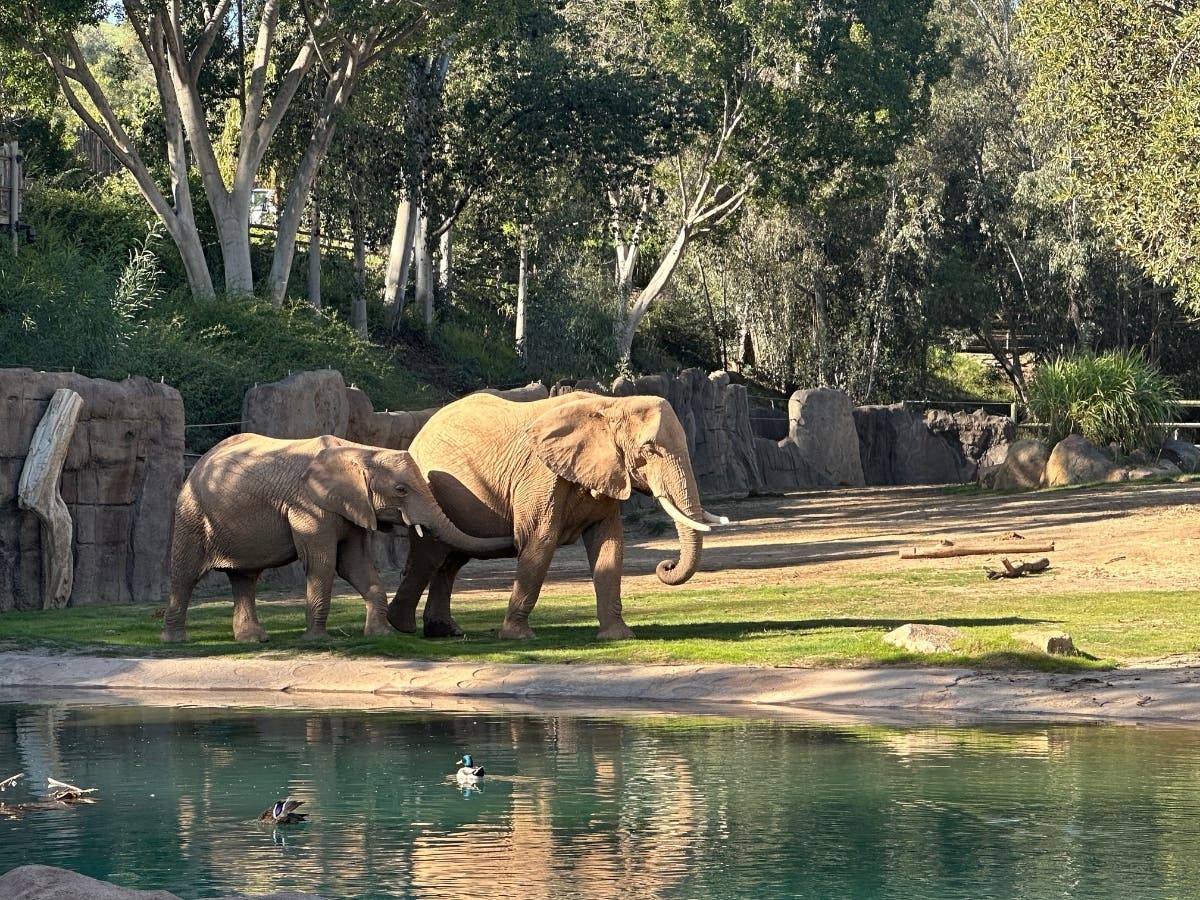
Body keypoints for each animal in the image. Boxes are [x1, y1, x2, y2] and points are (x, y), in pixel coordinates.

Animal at [161, 433, 512, 643]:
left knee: (244, 578)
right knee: (185, 574)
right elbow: (323, 562)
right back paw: (176, 640)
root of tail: (198, 461)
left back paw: (254, 640)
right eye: (401, 490)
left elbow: (354, 564)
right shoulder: (308, 505)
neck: (359, 451)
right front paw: (318, 641)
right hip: (192, 513)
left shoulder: (351, 508)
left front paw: (379, 635)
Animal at [385, 392, 729, 640]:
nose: (666, 565)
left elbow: (609, 543)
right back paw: (402, 628)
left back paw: (443, 632)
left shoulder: (604, 473)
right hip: (426, 493)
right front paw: (519, 638)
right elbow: (539, 540)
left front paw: (618, 637)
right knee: (430, 557)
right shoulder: (540, 475)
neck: (611, 404)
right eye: (649, 450)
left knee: (452, 561)